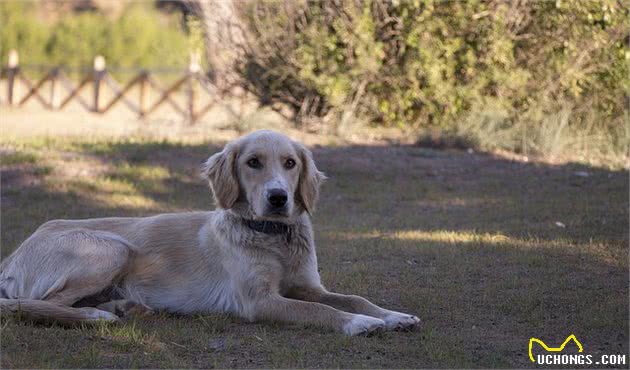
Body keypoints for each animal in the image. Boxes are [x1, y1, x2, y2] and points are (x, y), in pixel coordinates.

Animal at [3, 130, 424, 336]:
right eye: (253, 162)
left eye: (290, 163)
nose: (278, 197)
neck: (274, 237)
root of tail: (13, 255)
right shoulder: (259, 301)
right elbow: (319, 310)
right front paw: (361, 324)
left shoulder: (308, 285)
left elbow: (352, 298)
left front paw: (393, 315)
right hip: (112, 249)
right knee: (36, 304)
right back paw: (95, 315)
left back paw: (123, 306)